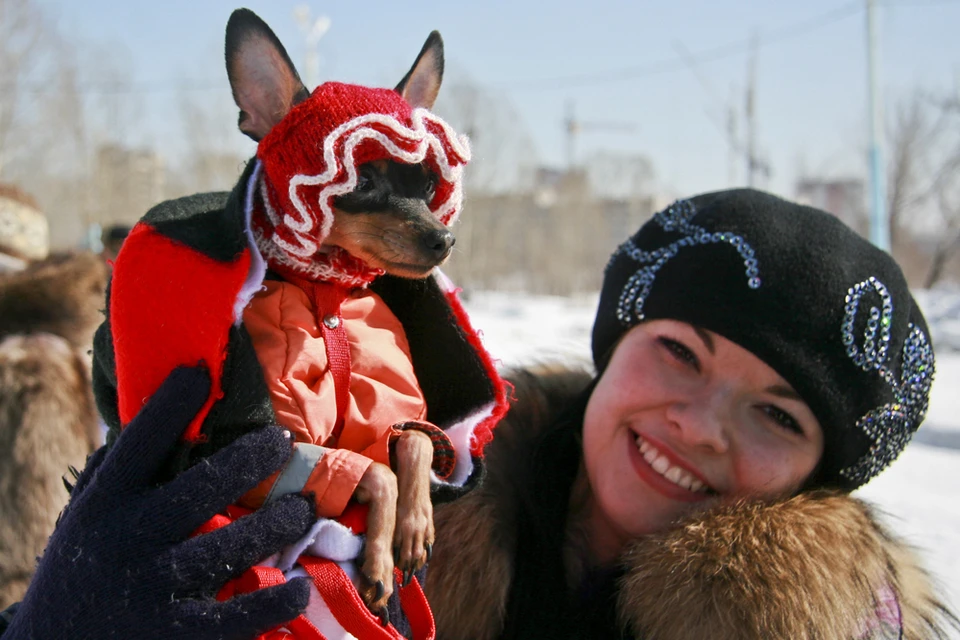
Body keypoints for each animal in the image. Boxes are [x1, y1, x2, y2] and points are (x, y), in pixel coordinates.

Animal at [227, 8, 464, 616]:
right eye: (362, 180)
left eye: (429, 184)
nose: (442, 239)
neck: (328, 297)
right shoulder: (278, 449)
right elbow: (377, 471)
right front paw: (379, 559)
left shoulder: (391, 416)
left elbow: (415, 442)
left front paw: (414, 526)